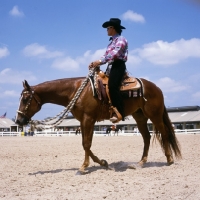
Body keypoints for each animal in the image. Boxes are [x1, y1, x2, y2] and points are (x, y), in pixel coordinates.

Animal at [15, 76, 181, 174]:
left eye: (25, 99)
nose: (18, 120)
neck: (76, 90)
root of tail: (157, 88)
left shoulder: (89, 119)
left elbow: (87, 144)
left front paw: (83, 167)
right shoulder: (83, 121)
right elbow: (85, 144)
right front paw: (102, 163)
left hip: (155, 115)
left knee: (164, 133)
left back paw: (169, 160)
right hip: (139, 116)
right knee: (146, 137)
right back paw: (141, 162)